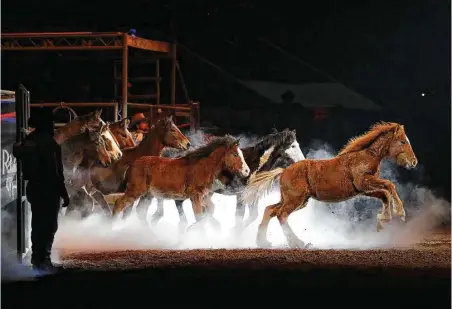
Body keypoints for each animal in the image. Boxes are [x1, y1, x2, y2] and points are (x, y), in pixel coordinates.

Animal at [111, 135, 249, 229]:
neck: (202, 167)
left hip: (147, 195)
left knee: (140, 212)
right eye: (235, 154)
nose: (247, 170)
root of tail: (132, 165)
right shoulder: (195, 196)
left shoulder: (202, 196)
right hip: (135, 191)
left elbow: (208, 212)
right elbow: (199, 216)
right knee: (119, 204)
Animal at [242, 122, 418, 248]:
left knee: (270, 210)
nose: (414, 162)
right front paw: (400, 213)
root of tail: (283, 170)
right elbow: (389, 185)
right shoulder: (363, 182)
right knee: (281, 215)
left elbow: (384, 194)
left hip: (295, 199)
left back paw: (263, 242)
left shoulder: (364, 189)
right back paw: (298, 243)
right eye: (403, 141)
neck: (365, 157)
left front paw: (383, 220)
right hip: (295, 200)